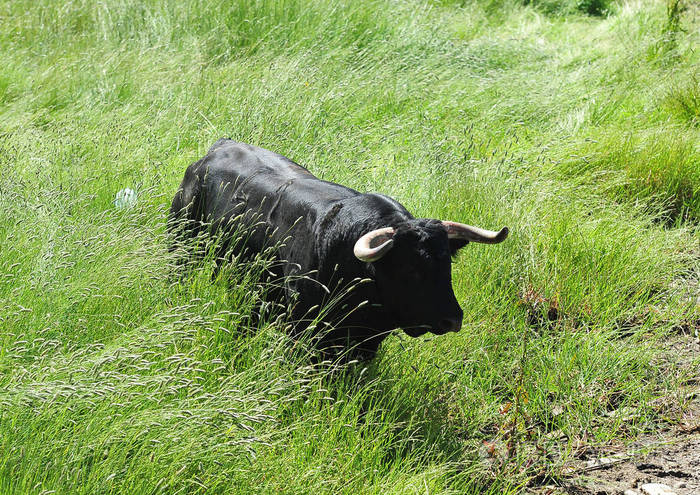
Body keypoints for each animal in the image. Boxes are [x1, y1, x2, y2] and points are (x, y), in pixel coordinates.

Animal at [170, 140, 508, 360]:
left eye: (446, 266)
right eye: (411, 269)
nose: (453, 320)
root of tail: (215, 150)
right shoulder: (301, 329)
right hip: (181, 242)